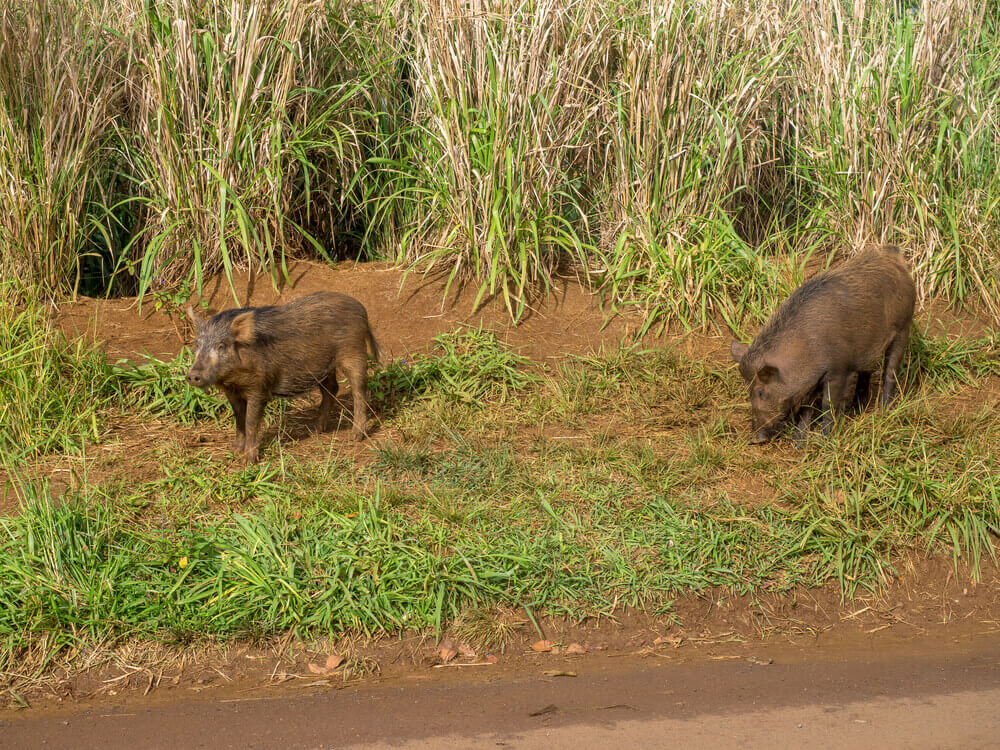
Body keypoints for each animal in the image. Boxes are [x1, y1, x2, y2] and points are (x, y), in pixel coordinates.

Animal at [183, 290, 378, 462]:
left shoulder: (259, 388)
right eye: (197, 344)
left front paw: (248, 461)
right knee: (332, 389)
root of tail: (361, 308)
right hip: (323, 366)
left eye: (221, 346)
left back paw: (355, 437)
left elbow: (250, 422)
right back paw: (315, 429)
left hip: (354, 353)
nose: (192, 376)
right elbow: (238, 419)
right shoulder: (232, 392)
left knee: (360, 390)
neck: (233, 380)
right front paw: (234, 451)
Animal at [728, 247, 916, 446]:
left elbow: (828, 404)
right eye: (748, 391)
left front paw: (826, 440)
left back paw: (884, 410)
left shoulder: (839, 369)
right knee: (866, 374)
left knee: (890, 372)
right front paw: (798, 444)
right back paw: (856, 411)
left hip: (904, 326)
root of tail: (896, 258)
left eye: (762, 392)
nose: (757, 438)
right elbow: (806, 407)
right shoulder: (811, 379)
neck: (805, 347)